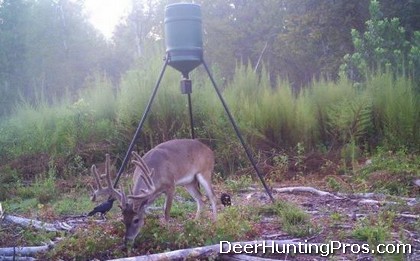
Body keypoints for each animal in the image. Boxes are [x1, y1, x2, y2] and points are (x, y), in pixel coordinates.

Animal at [90, 139, 218, 243]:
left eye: (136, 220)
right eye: (123, 220)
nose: (127, 240)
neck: (154, 171)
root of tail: (210, 151)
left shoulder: (171, 185)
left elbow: (166, 211)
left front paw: (167, 231)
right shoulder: (152, 193)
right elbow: (149, 207)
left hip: (205, 171)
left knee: (212, 196)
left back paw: (215, 222)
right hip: (189, 182)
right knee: (200, 199)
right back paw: (195, 222)